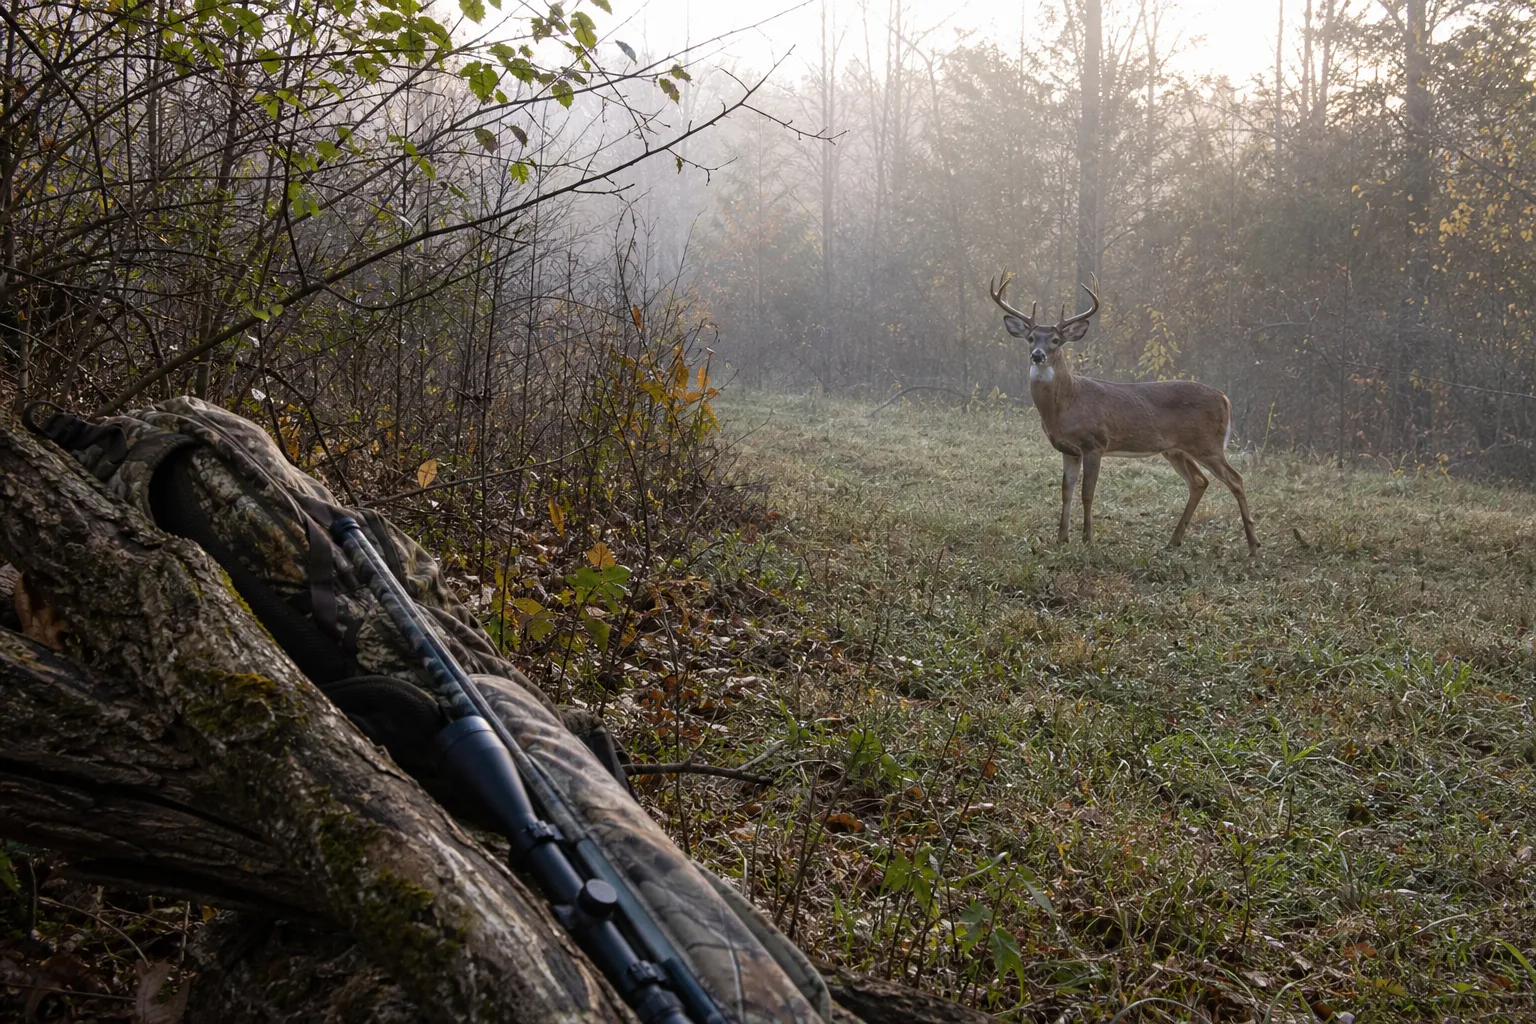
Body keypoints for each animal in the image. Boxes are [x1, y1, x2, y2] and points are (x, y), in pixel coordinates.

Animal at [989, 272, 1260, 555]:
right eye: (1031, 338)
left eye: (1055, 340)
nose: (1037, 355)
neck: (1066, 403)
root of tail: (1225, 399)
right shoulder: (1068, 449)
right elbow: (1066, 491)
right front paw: (1061, 538)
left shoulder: (1095, 443)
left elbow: (1087, 492)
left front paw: (1088, 539)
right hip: (1176, 449)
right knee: (1199, 481)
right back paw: (1173, 541)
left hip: (1208, 444)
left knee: (1235, 479)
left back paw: (1253, 545)